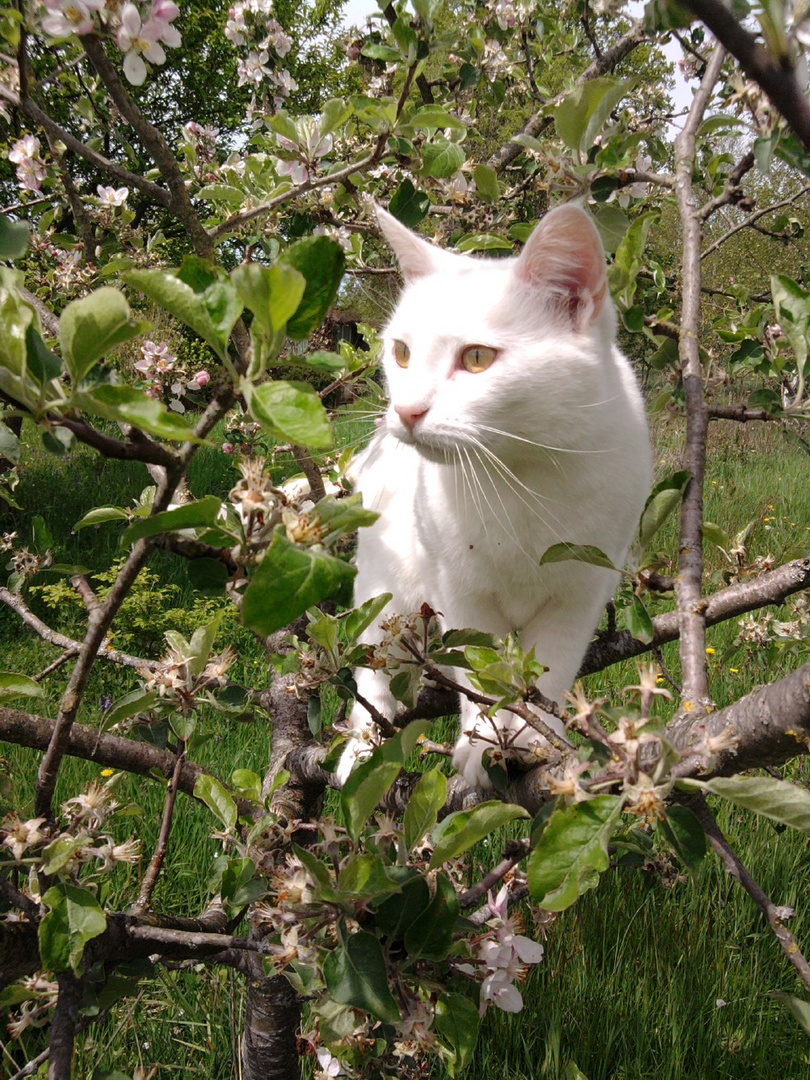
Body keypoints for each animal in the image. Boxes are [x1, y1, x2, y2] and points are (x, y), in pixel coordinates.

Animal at [336, 203, 652, 790]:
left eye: (478, 358)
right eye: (402, 352)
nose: (406, 410)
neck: (518, 477)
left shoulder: (580, 595)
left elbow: (548, 671)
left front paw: (529, 739)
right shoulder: (461, 594)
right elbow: (481, 674)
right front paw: (482, 743)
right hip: (388, 588)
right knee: (374, 675)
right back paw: (362, 747)